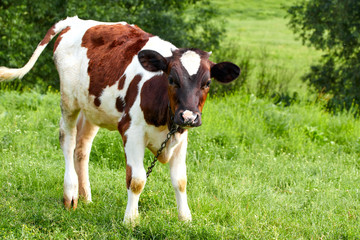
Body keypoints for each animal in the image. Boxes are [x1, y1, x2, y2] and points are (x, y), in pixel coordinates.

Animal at [1, 16, 242, 223]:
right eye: (172, 79)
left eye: (207, 83)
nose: (189, 116)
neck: (165, 119)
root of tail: (76, 21)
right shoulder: (131, 131)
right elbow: (136, 180)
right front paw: (131, 220)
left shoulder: (181, 136)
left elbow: (180, 181)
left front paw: (185, 219)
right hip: (69, 101)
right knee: (67, 140)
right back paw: (71, 195)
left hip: (92, 108)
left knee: (82, 148)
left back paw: (86, 196)